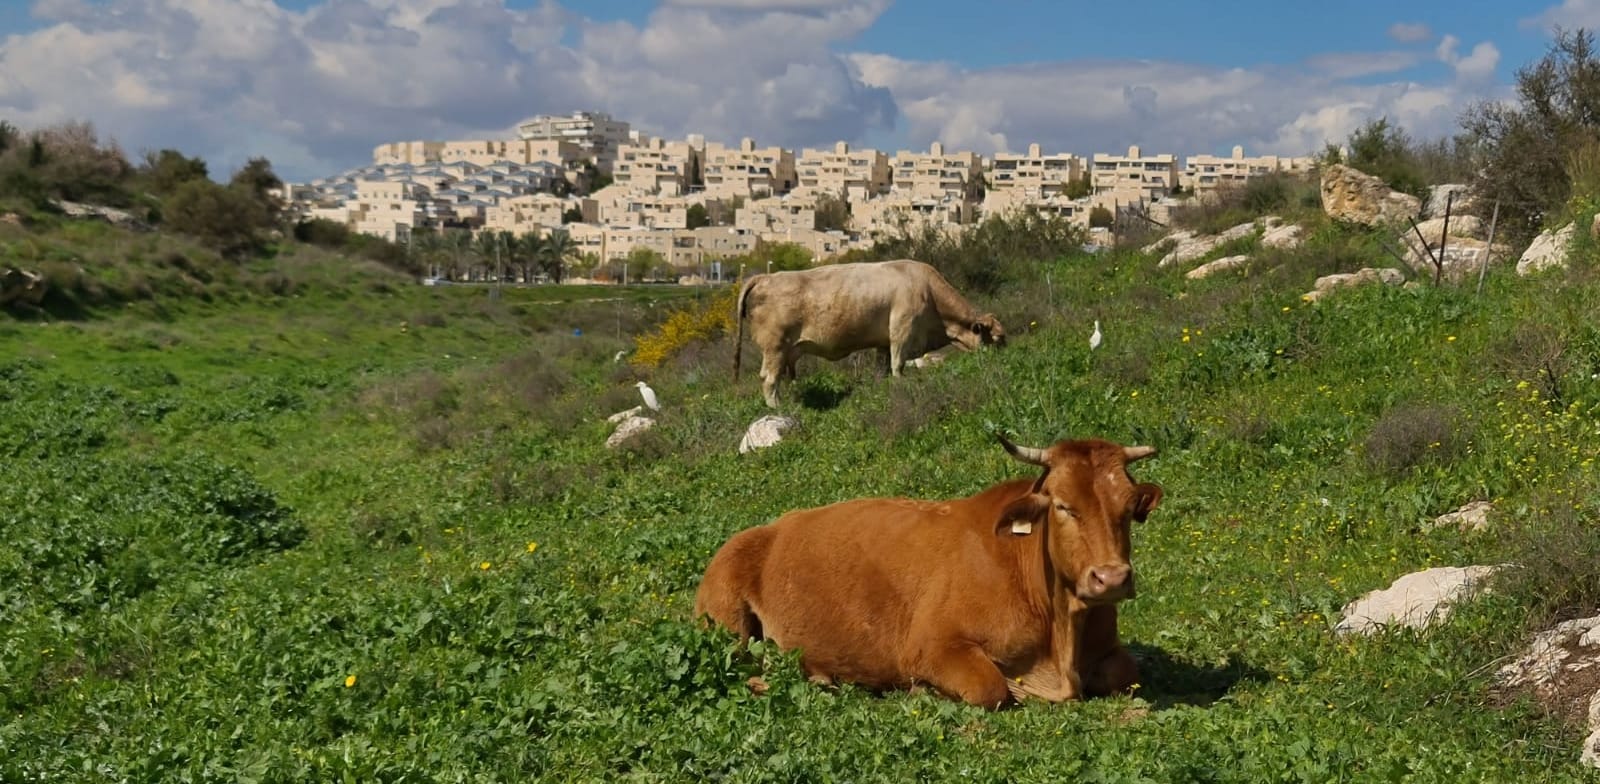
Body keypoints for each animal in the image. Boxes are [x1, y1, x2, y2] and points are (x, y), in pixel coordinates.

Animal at [691, 435, 1164, 710]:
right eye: (1064, 505)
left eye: (1128, 507)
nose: (1111, 578)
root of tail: (768, 528)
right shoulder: (932, 646)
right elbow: (991, 688)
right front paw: (923, 689)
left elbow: (1126, 673)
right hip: (724, 619)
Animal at [732, 262, 1004, 409]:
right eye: (997, 339)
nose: (1004, 361)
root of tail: (764, 278)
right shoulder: (901, 331)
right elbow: (897, 365)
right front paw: (901, 386)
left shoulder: (883, 343)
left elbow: (882, 369)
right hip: (775, 347)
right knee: (769, 379)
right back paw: (780, 408)